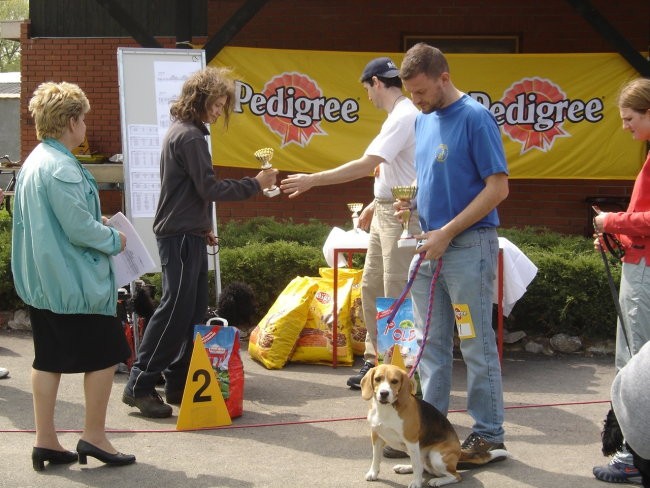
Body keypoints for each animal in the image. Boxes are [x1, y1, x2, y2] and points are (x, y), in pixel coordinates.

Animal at [360, 364, 506, 486]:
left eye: (394, 381)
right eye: (377, 379)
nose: (384, 393)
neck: (386, 409)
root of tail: (459, 451)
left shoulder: (411, 441)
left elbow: (416, 466)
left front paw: (416, 483)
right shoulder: (376, 436)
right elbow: (376, 458)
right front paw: (373, 473)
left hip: (436, 456)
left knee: (455, 476)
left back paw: (437, 481)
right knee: (422, 466)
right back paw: (405, 467)